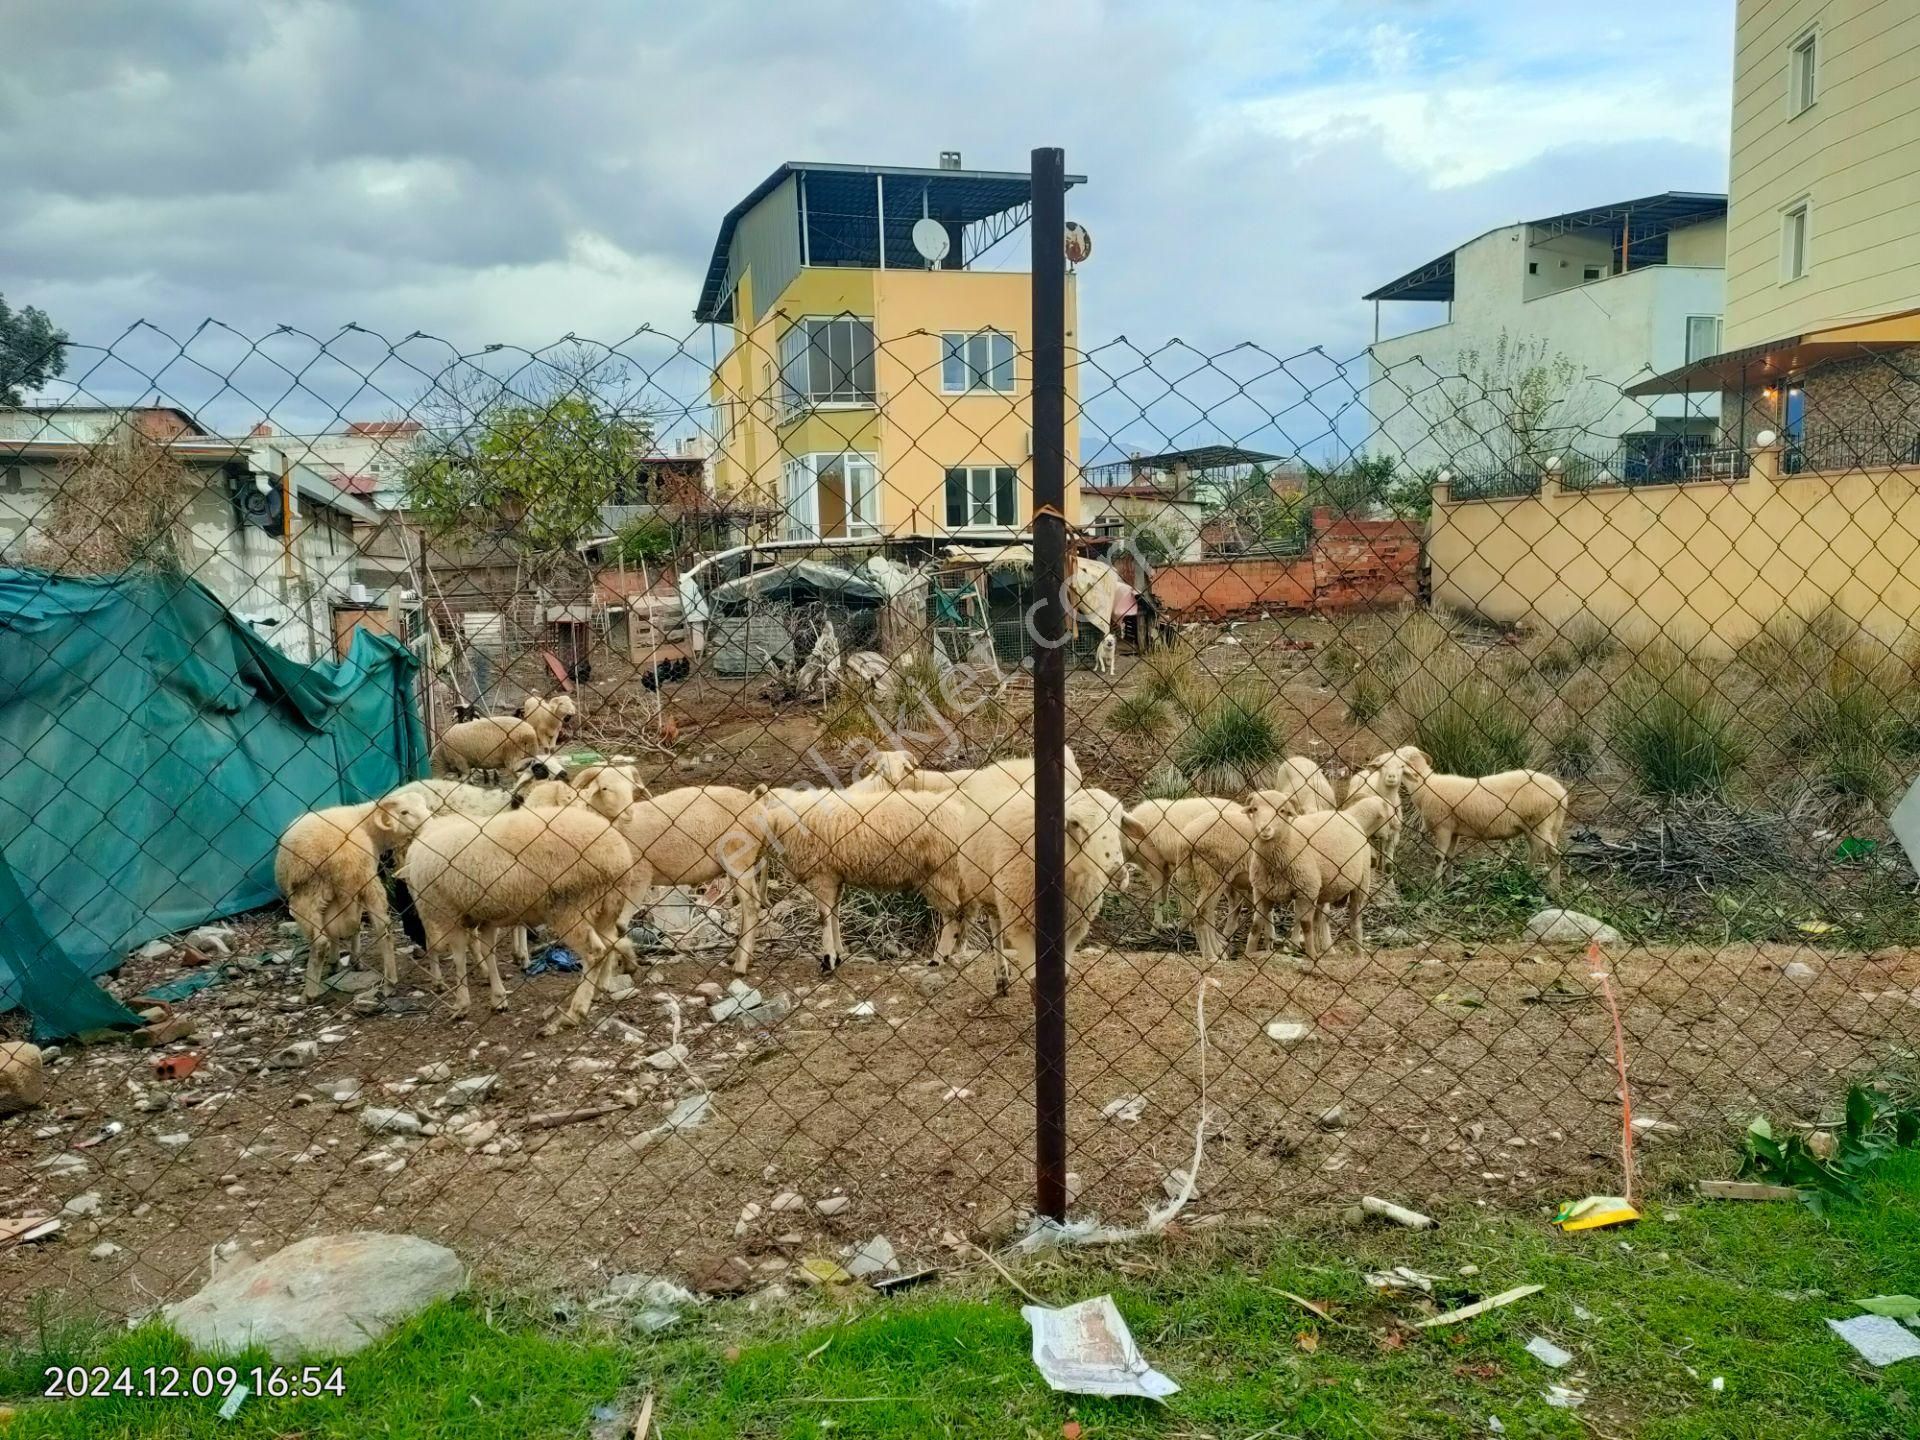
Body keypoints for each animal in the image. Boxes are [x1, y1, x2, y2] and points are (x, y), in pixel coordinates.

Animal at [276, 791, 433, 1006]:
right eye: (404, 812)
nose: (431, 821)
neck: (365, 823)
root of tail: (343, 855)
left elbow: (338, 931)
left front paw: (338, 961)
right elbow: (351, 926)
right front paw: (349, 960)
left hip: (307, 895)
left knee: (320, 942)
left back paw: (309, 994)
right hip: (367, 881)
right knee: (383, 928)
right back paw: (390, 983)